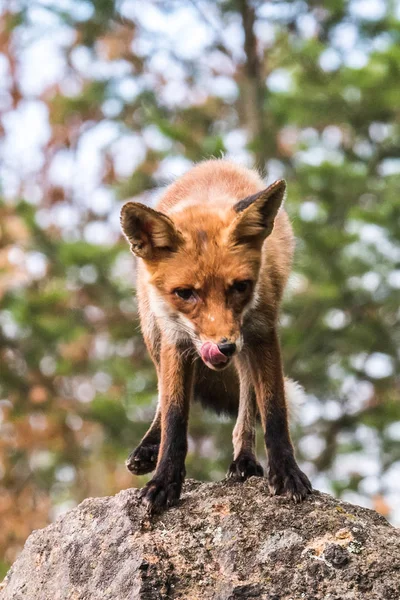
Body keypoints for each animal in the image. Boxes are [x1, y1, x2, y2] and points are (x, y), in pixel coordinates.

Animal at [120, 158, 310, 510]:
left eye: (240, 287)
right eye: (185, 293)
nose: (222, 348)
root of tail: (216, 162)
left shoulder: (262, 333)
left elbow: (274, 410)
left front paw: (287, 473)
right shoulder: (175, 341)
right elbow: (174, 417)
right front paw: (164, 481)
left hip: (247, 345)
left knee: (247, 398)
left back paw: (244, 459)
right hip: (152, 329)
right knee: (161, 392)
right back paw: (149, 447)